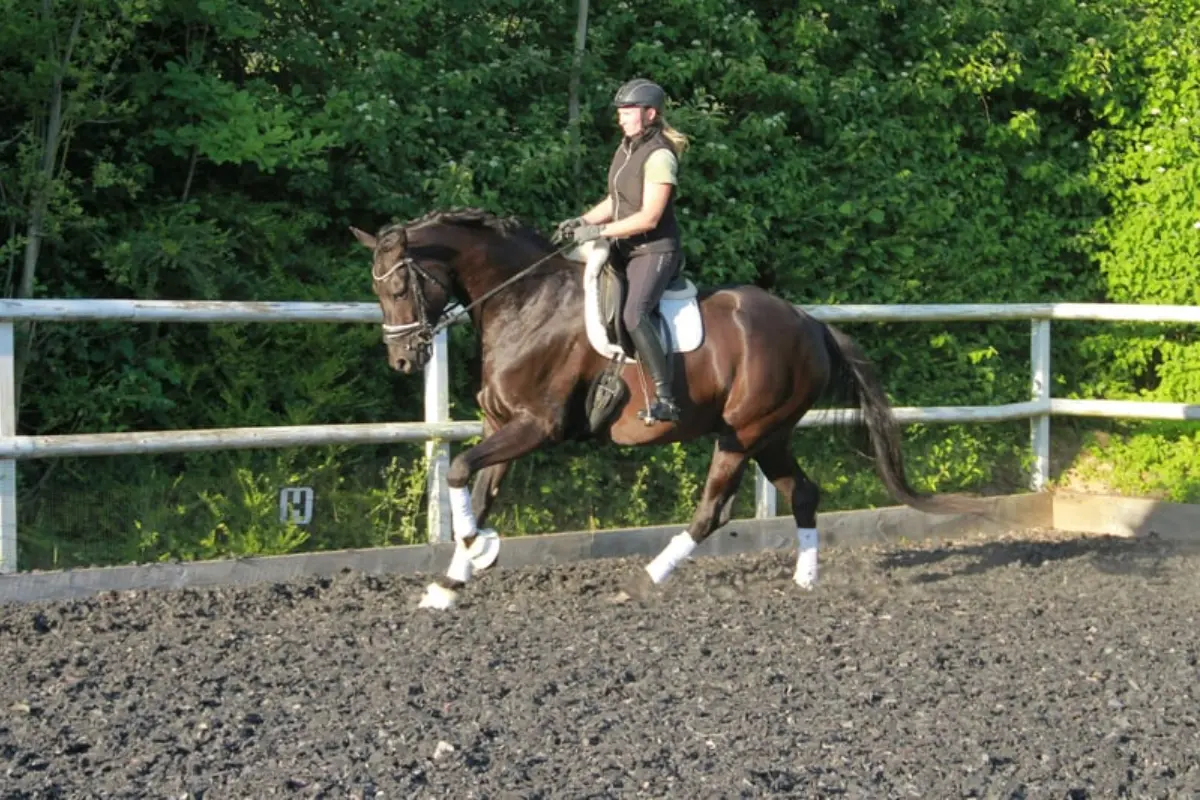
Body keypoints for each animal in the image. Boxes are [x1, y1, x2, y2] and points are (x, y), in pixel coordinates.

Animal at [351, 207, 986, 610]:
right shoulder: (502, 425)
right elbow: (480, 491)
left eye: (400, 287)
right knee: (802, 492)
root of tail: (810, 323)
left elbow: (460, 471)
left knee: (713, 511)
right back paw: (806, 580)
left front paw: (478, 550)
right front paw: (450, 582)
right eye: (378, 289)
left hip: (743, 434)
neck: (526, 302)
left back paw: (646, 578)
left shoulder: (537, 427)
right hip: (768, 435)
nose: (404, 360)